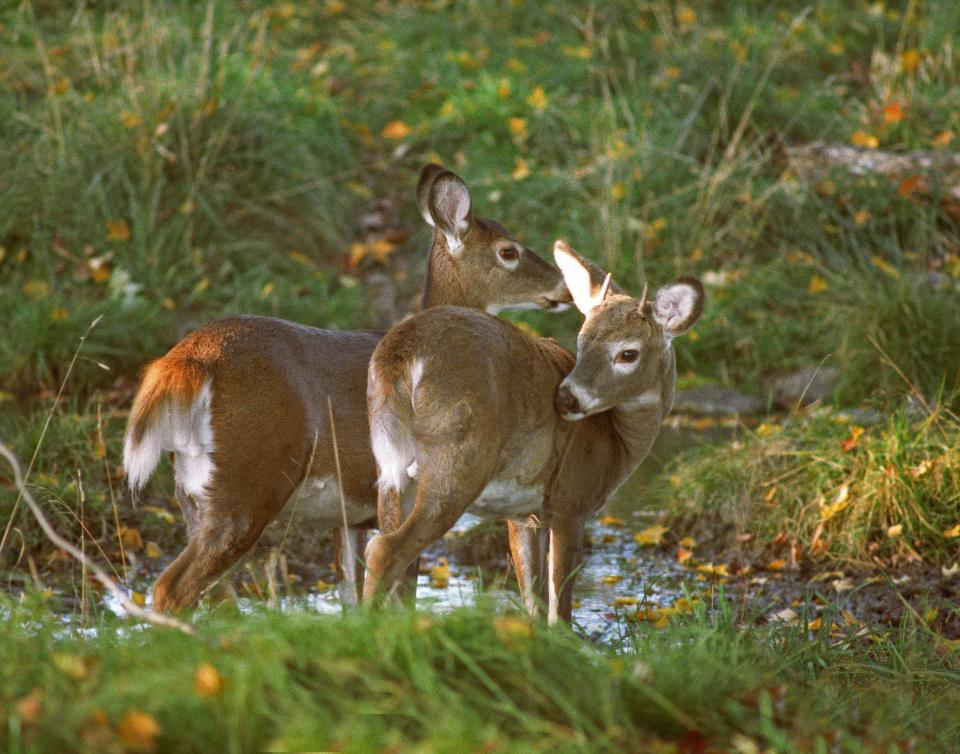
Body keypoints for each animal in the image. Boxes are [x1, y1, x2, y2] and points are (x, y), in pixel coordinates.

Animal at [120, 164, 568, 612]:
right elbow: (402, 587)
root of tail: (184, 360)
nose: (563, 287)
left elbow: (351, 593)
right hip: (248, 477)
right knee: (173, 586)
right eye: (508, 251)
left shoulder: (350, 516)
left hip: (191, 489)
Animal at [364, 241, 700, 624]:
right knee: (384, 548)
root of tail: (403, 350)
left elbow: (534, 602)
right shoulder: (572, 500)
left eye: (628, 353)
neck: (617, 444)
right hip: (458, 457)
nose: (566, 397)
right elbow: (559, 607)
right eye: (583, 341)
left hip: (390, 465)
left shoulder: (525, 514)